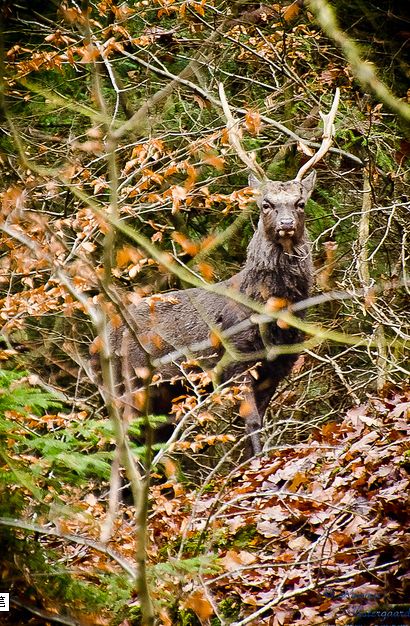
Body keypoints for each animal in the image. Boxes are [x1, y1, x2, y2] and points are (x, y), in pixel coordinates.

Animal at [93, 88, 340, 456]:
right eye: (265, 204)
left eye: (300, 203)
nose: (286, 224)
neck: (269, 313)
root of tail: (106, 334)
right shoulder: (234, 359)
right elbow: (251, 422)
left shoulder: (277, 365)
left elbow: (260, 420)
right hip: (132, 378)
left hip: (166, 391)